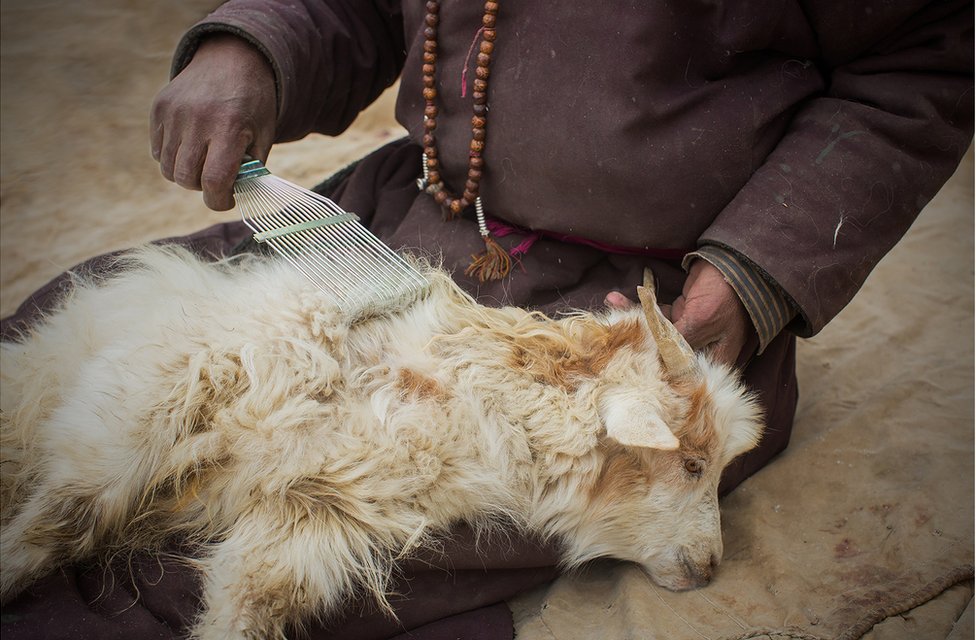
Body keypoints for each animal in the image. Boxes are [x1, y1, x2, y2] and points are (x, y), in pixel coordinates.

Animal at [0, 246, 764, 640]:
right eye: (693, 463)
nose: (710, 568)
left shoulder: (312, 513)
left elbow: (249, 602)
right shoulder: (151, 396)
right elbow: (58, 521)